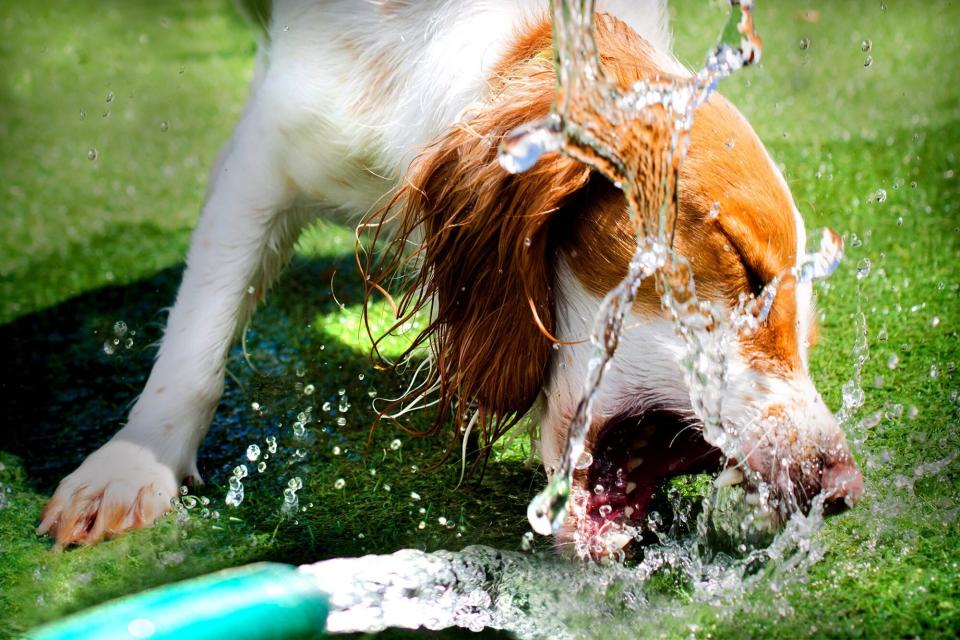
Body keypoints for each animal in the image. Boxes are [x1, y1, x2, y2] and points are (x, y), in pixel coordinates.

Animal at [39, 0, 864, 552]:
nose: (841, 488)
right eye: (744, 267)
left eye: (810, 333)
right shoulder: (266, 154)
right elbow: (195, 346)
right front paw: (134, 465)